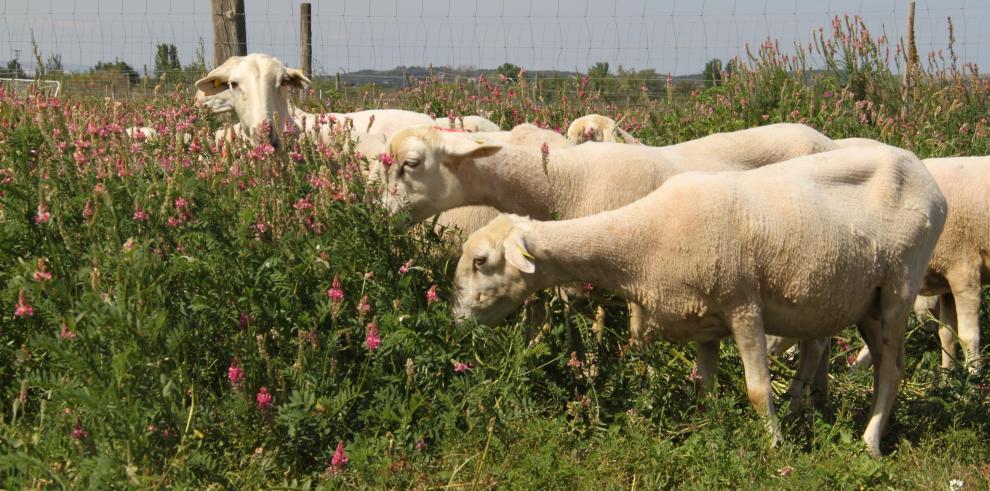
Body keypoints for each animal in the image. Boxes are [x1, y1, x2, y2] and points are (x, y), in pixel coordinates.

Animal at [454, 144, 948, 460]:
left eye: (480, 261)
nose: (457, 316)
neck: (641, 241)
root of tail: (924, 174)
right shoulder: (704, 322)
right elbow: (704, 390)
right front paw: (709, 434)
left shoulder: (742, 303)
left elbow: (756, 388)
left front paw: (775, 447)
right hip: (866, 300)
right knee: (870, 361)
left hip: (900, 285)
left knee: (892, 370)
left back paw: (869, 443)